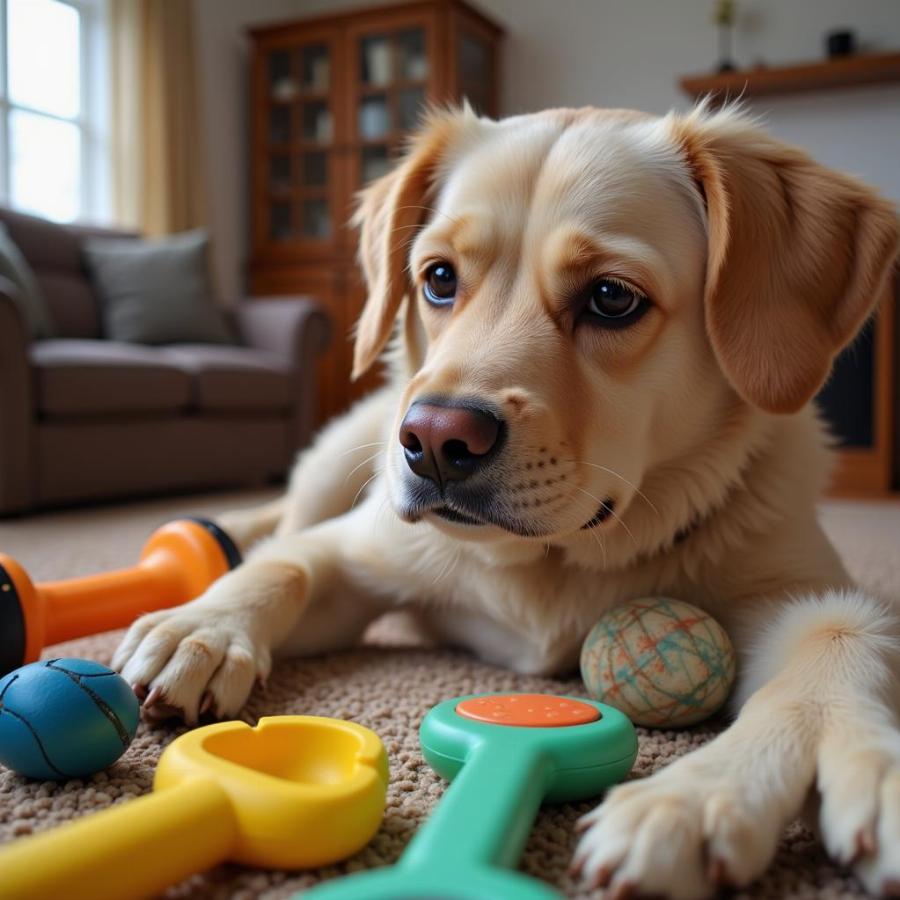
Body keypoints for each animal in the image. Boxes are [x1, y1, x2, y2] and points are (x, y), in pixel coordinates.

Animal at [112, 103, 900, 892]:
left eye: (612, 297)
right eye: (437, 278)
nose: (433, 440)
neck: (555, 557)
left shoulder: (797, 587)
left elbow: (840, 635)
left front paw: (702, 793)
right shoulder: (365, 550)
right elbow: (288, 565)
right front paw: (202, 629)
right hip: (345, 455)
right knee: (280, 522)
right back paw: (211, 539)